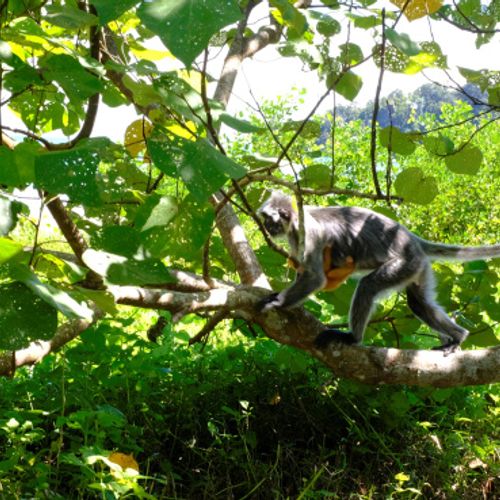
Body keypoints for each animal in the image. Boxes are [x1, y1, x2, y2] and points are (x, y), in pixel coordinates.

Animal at [258, 189, 500, 354]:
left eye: (269, 219)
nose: (267, 227)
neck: (296, 218)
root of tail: (412, 240)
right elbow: (304, 274)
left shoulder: (309, 233)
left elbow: (315, 278)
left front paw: (278, 302)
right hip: (417, 267)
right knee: (418, 303)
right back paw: (459, 337)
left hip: (404, 262)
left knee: (368, 286)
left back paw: (353, 338)